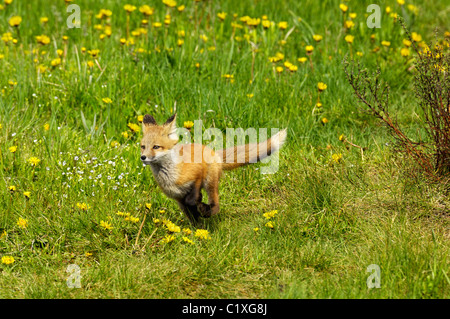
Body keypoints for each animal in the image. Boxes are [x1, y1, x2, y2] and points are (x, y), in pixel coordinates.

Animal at [141, 115, 288, 225]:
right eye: (143, 146)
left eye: (156, 147)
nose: (143, 157)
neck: (170, 178)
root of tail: (213, 152)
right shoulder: (179, 199)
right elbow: (192, 217)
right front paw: (197, 231)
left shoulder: (197, 174)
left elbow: (193, 199)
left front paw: (200, 206)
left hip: (210, 182)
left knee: (216, 205)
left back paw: (208, 210)